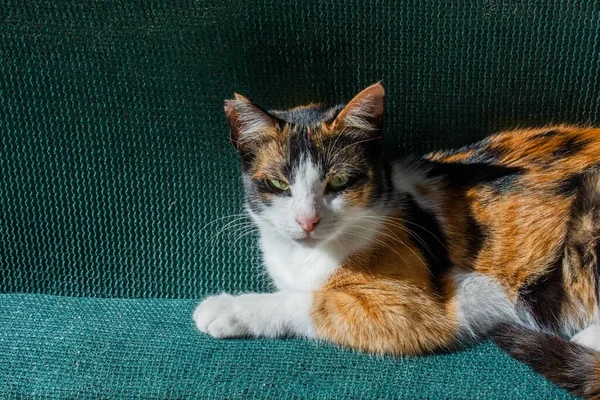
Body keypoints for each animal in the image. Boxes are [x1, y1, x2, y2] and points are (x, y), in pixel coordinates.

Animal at [193, 83, 600, 398]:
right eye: (279, 184)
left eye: (339, 181)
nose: (307, 220)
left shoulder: (415, 308)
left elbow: (309, 302)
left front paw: (224, 309)